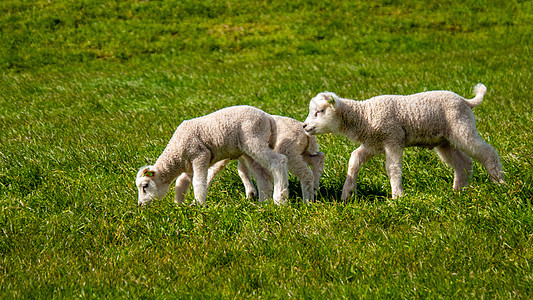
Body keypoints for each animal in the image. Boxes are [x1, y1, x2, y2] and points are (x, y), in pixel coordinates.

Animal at [135, 104, 288, 205]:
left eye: (145, 186)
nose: (140, 205)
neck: (176, 154)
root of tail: (268, 117)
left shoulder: (200, 155)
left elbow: (198, 182)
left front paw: (200, 205)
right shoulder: (188, 166)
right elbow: (181, 182)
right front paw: (179, 206)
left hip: (253, 139)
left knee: (278, 161)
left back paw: (279, 199)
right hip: (249, 149)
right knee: (262, 175)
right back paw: (263, 203)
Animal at [189, 115, 324, 204]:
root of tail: (306, 134)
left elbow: (214, 169)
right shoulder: (243, 155)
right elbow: (242, 170)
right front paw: (251, 193)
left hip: (288, 150)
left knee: (305, 173)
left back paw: (307, 200)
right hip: (300, 151)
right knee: (318, 158)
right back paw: (315, 188)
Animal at [302, 83, 504, 199]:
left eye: (319, 111)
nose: (304, 126)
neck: (365, 115)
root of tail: (466, 101)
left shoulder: (393, 138)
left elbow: (392, 168)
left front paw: (397, 196)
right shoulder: (372, 144)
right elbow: (354, 159)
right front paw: (347, 193)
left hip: (462, 128)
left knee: (487, 151)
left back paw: (499, 182)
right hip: (445, 141)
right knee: (464, 162)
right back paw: (458, 191)